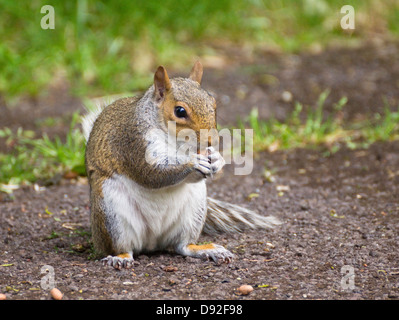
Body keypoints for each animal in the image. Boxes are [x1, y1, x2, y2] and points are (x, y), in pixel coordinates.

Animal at [83, 61, 282, 268]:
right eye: (180, 111)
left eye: (213, 104)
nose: (212, 141)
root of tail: (151, 242)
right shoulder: (134, 142)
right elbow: (151, 173)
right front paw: (192, 162)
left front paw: (217, 159)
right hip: (111, 214)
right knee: (123, 247)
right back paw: (120, 258)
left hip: (194, 211)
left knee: (182, 246)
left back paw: (207, 250)